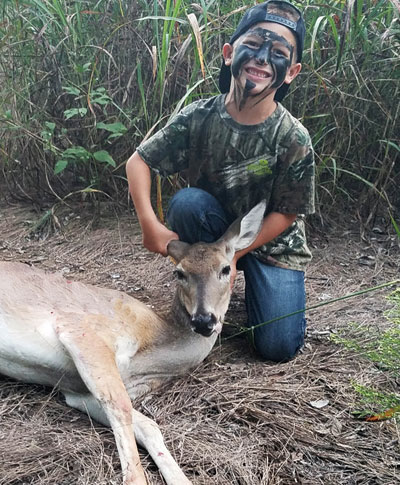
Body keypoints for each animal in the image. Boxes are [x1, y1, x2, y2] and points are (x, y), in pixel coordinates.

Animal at [0, 199, 266, 482]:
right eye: (179, 273)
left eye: (226, 269)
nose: (204, 320)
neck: (147, 355)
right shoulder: (81, 329)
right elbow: (121, 406)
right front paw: (134, 477)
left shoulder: (76, 391)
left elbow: (149, 425)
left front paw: (180, 479)